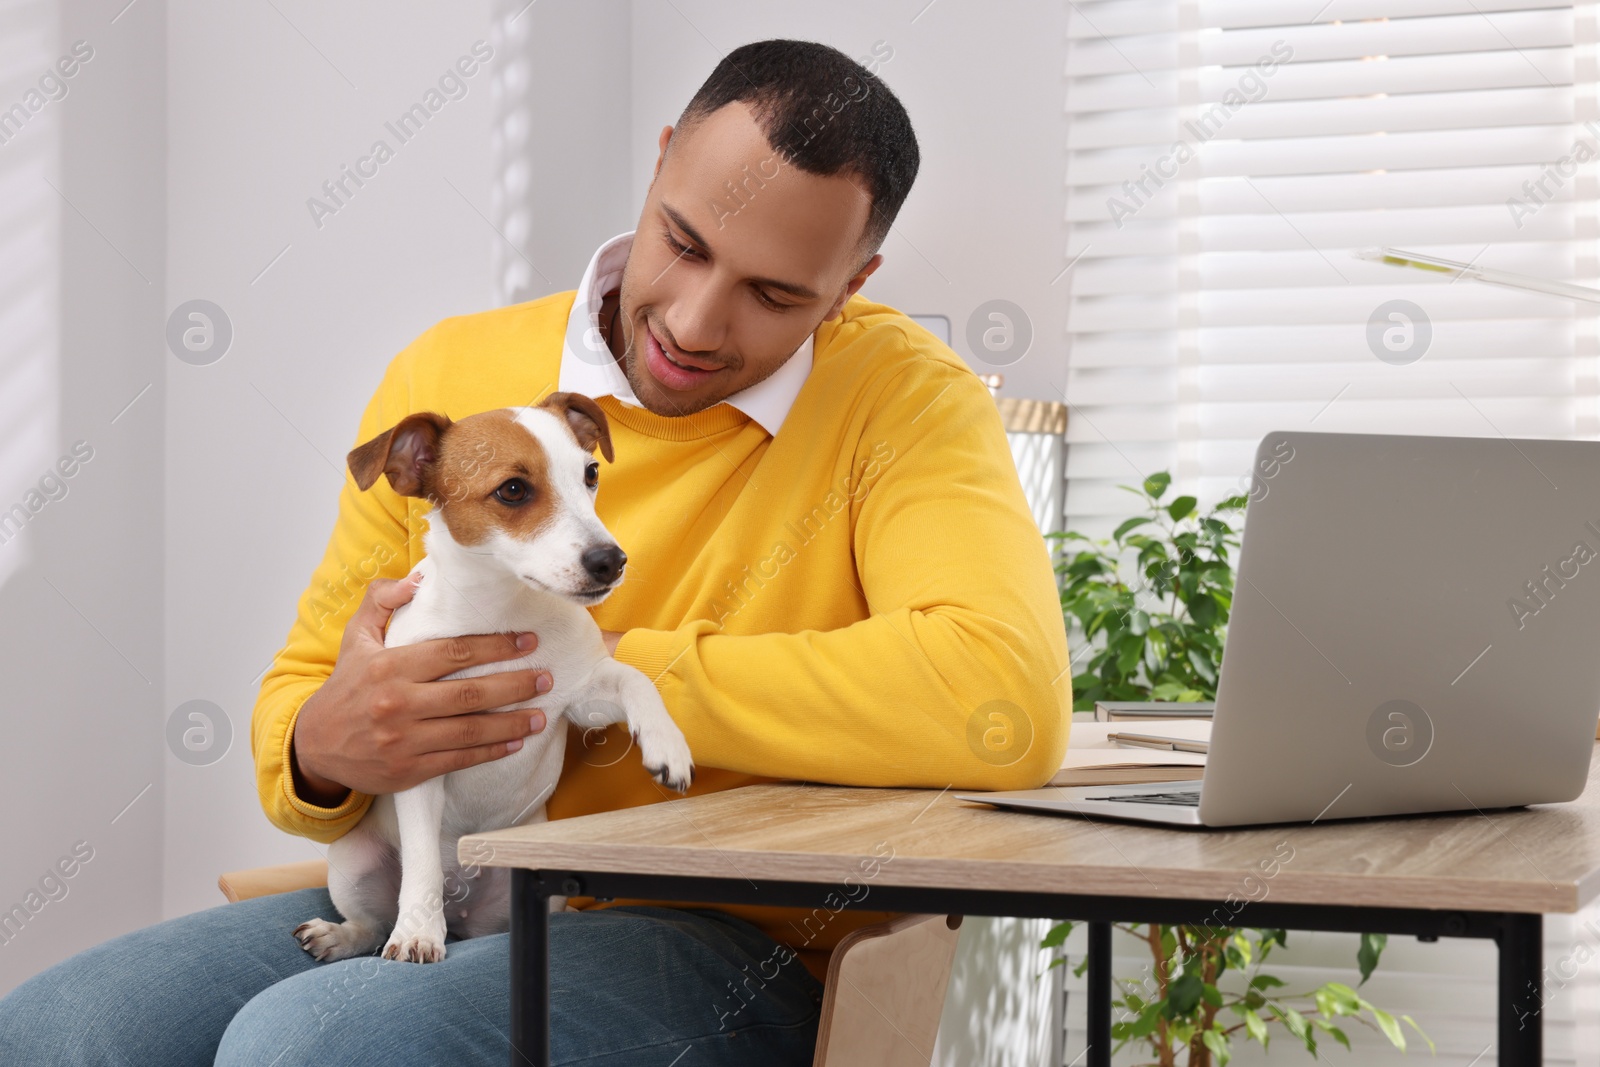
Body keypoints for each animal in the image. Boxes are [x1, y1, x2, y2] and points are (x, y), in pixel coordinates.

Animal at [294, 391, 694, 966]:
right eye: (513, 489)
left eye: (591, 474)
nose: (612, 561)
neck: (503, 612)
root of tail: (464, 915)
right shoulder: (417, 756)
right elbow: (421, 862)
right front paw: (418, 932)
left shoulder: (579, 698)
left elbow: (635, 679)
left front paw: (668, 746)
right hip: (352, 857)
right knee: (371, 923)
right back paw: (342, 934)